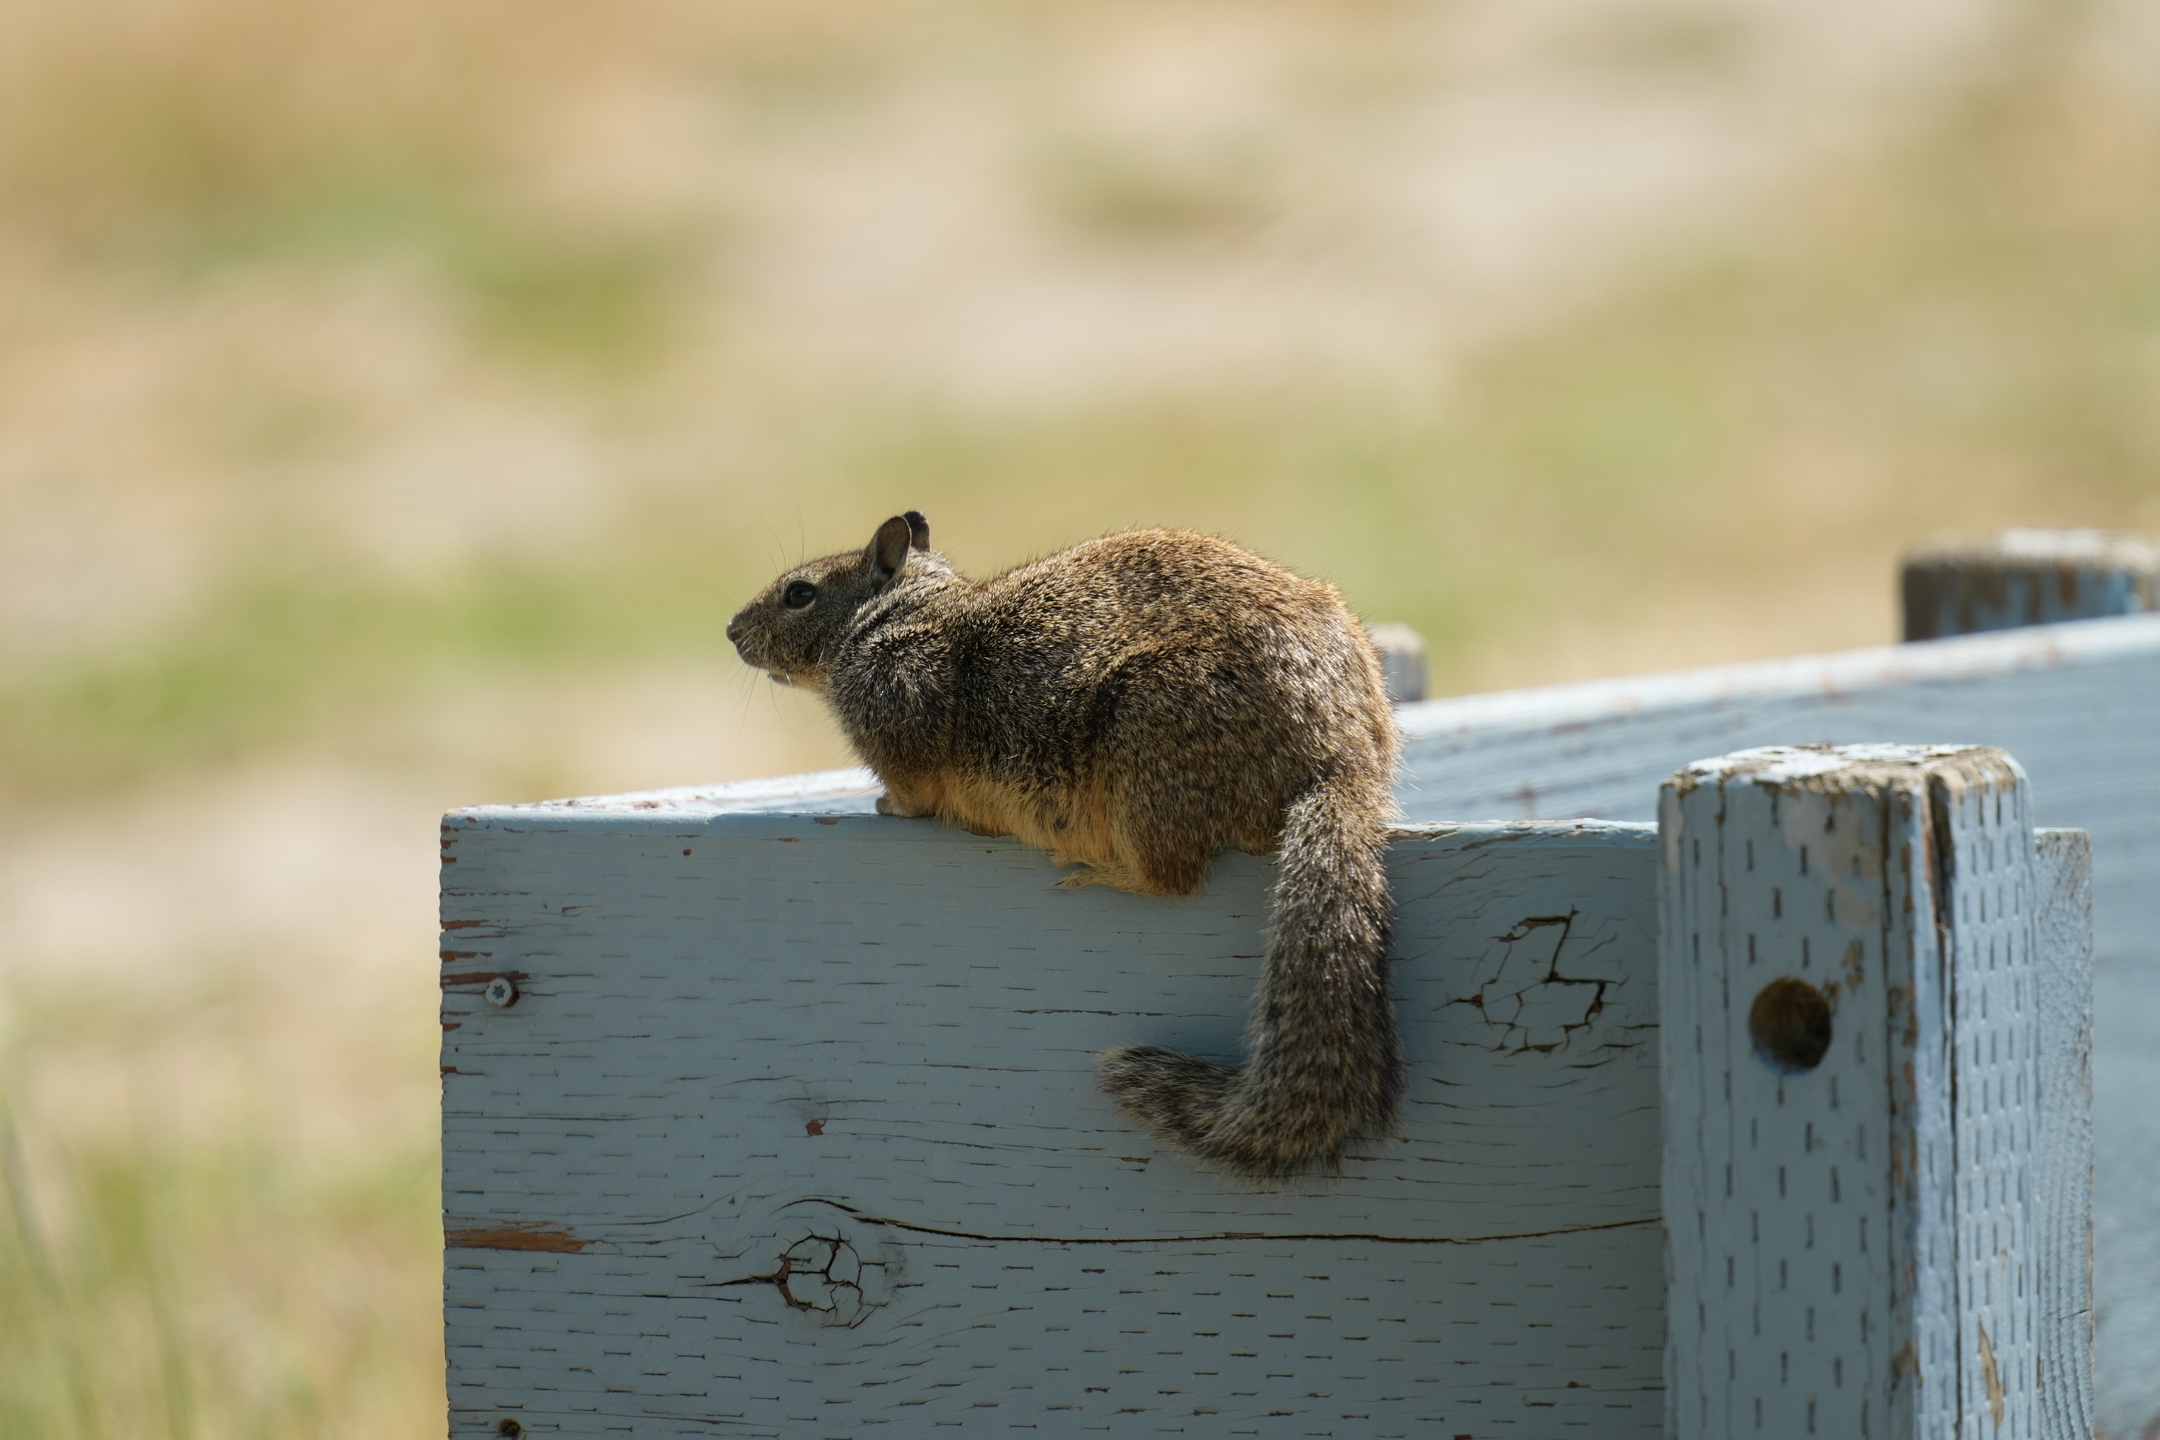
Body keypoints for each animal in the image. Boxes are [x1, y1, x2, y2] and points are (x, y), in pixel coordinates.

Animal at [726, 512, 1401, 1178]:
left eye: (799, 593)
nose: (731, 630)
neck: (895, 617)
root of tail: (1342, 764)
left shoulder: (902, 733)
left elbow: (912, 797)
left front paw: (885, 806)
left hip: (1149, 745)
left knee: (1172, 877)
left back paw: (1101, 868)